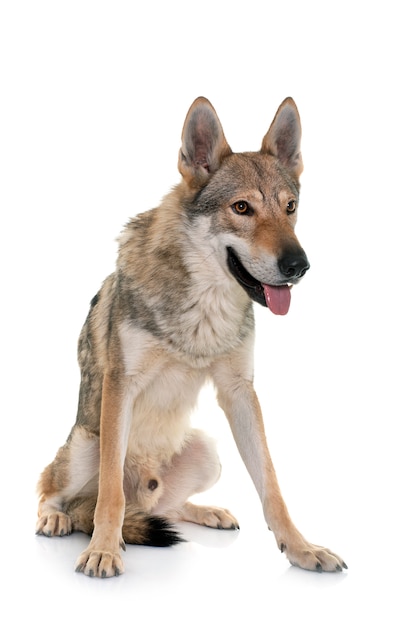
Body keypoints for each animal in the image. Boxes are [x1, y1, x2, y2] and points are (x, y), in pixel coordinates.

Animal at [35, 95, 346, 576]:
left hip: (208, 452)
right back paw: (57, 519)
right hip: (87, 442)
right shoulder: (120, 386)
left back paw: (208, 512)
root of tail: (146, 484)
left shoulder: (239, 392)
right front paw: (103, 550)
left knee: (163, 508)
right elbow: (110, 495)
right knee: (59, 492)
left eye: (291, 207)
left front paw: (301, 548)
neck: (204, 303)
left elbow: (272, 486)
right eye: (242, 208)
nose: (299, 266)